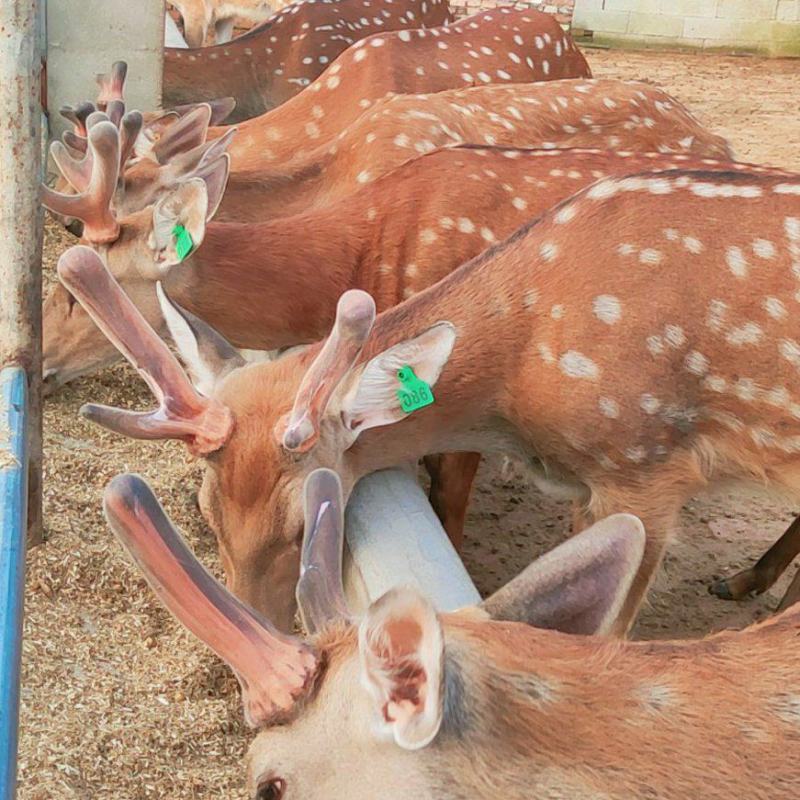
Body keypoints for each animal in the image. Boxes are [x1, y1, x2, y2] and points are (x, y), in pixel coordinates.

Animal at [56, 165, 800, 634]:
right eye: (204, 509)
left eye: (304, 526)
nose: (250, 630)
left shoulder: (645, 463)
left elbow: (603, 634)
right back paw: (747, 584)